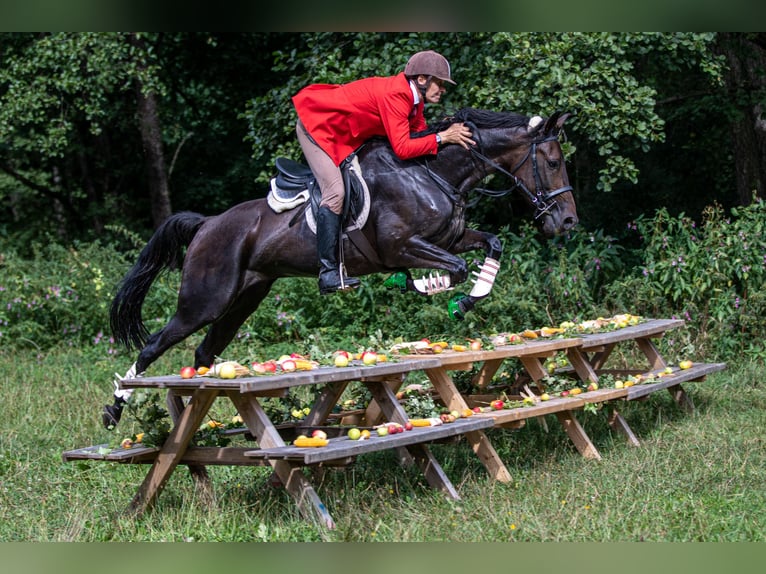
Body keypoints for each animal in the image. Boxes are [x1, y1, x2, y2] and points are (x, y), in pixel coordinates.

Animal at [102, 108, 578, 428]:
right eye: (554, 162)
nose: (568, 222)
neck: (432, 173)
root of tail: (207, 224)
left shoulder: (448, 238)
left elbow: (490, 245)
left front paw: (468, 297)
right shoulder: (403, 247)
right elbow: (456, 267)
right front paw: (434, 290)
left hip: (244, 299)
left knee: (204, 352)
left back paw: (197, 410)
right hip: (205, 299)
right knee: (153, 346)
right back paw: (115, 408)